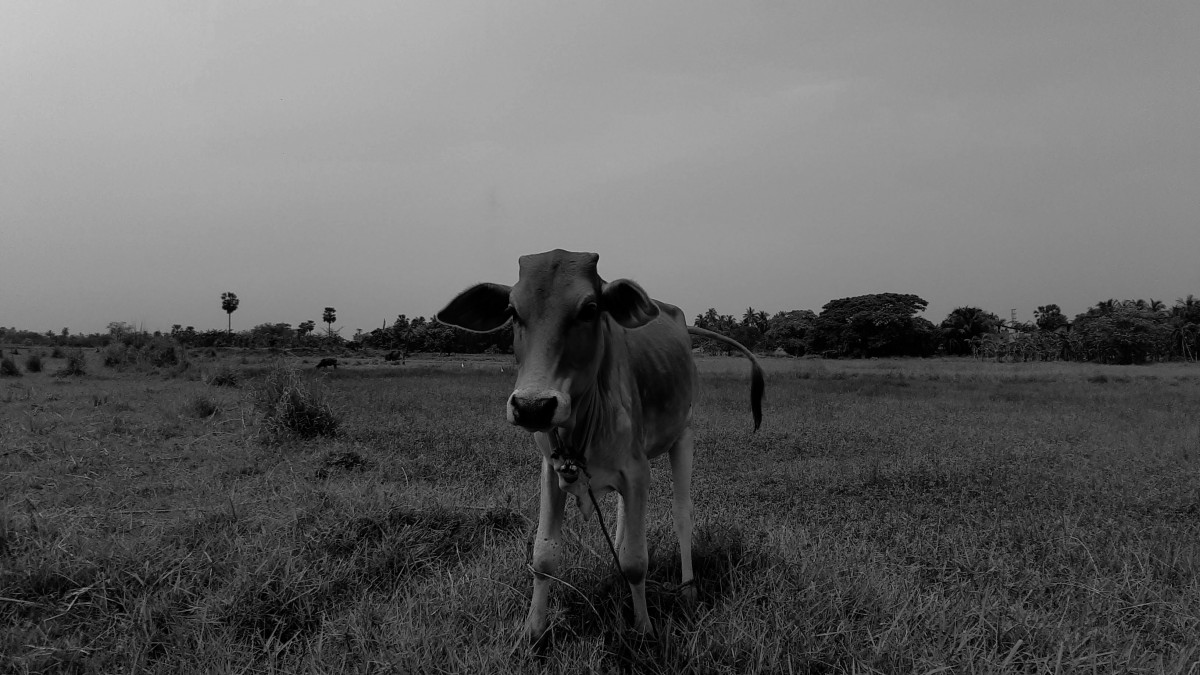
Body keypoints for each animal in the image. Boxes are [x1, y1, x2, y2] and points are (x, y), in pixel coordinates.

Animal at [437, 249, 763, 643]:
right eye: (513, 311)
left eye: (590, 309)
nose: (532, 406)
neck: (581, 425)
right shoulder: (551, 470)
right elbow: (544, 556)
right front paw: (533, 631)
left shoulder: (637, 471)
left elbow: (637, 561)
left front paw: (644, 628)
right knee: (624, 518)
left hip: (684, 435)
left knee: (682, 515)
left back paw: (688, 590)